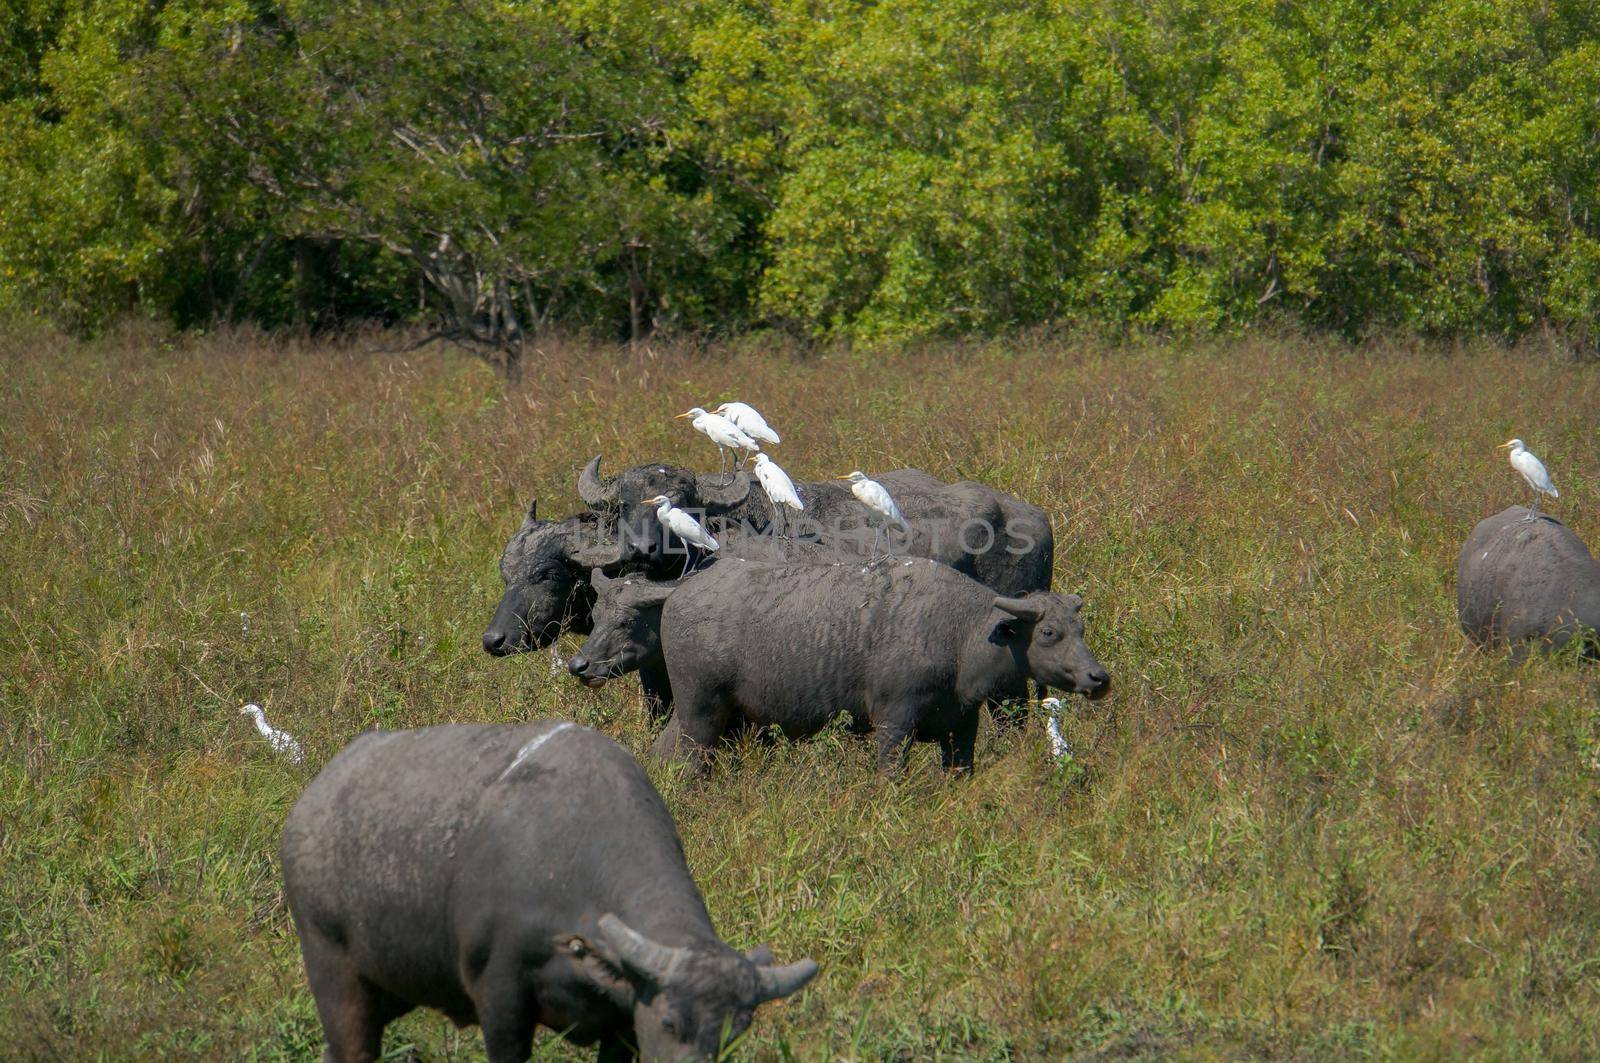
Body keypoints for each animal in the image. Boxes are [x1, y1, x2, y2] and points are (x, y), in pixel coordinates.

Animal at [280, 717, 819, 1056]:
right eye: (669, 1022)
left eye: (734, 1033)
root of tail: (311, 800)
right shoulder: (500, 1000)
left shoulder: (621, 1027)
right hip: (334, 978)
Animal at [643, 560, 1107, 778]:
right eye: (1048, 632)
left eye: (1080, 628)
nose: (1099, 678)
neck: (958, 637)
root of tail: (678, 597)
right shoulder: (893, 723)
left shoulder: (962, 728)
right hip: (701, 717)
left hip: (708, 717)